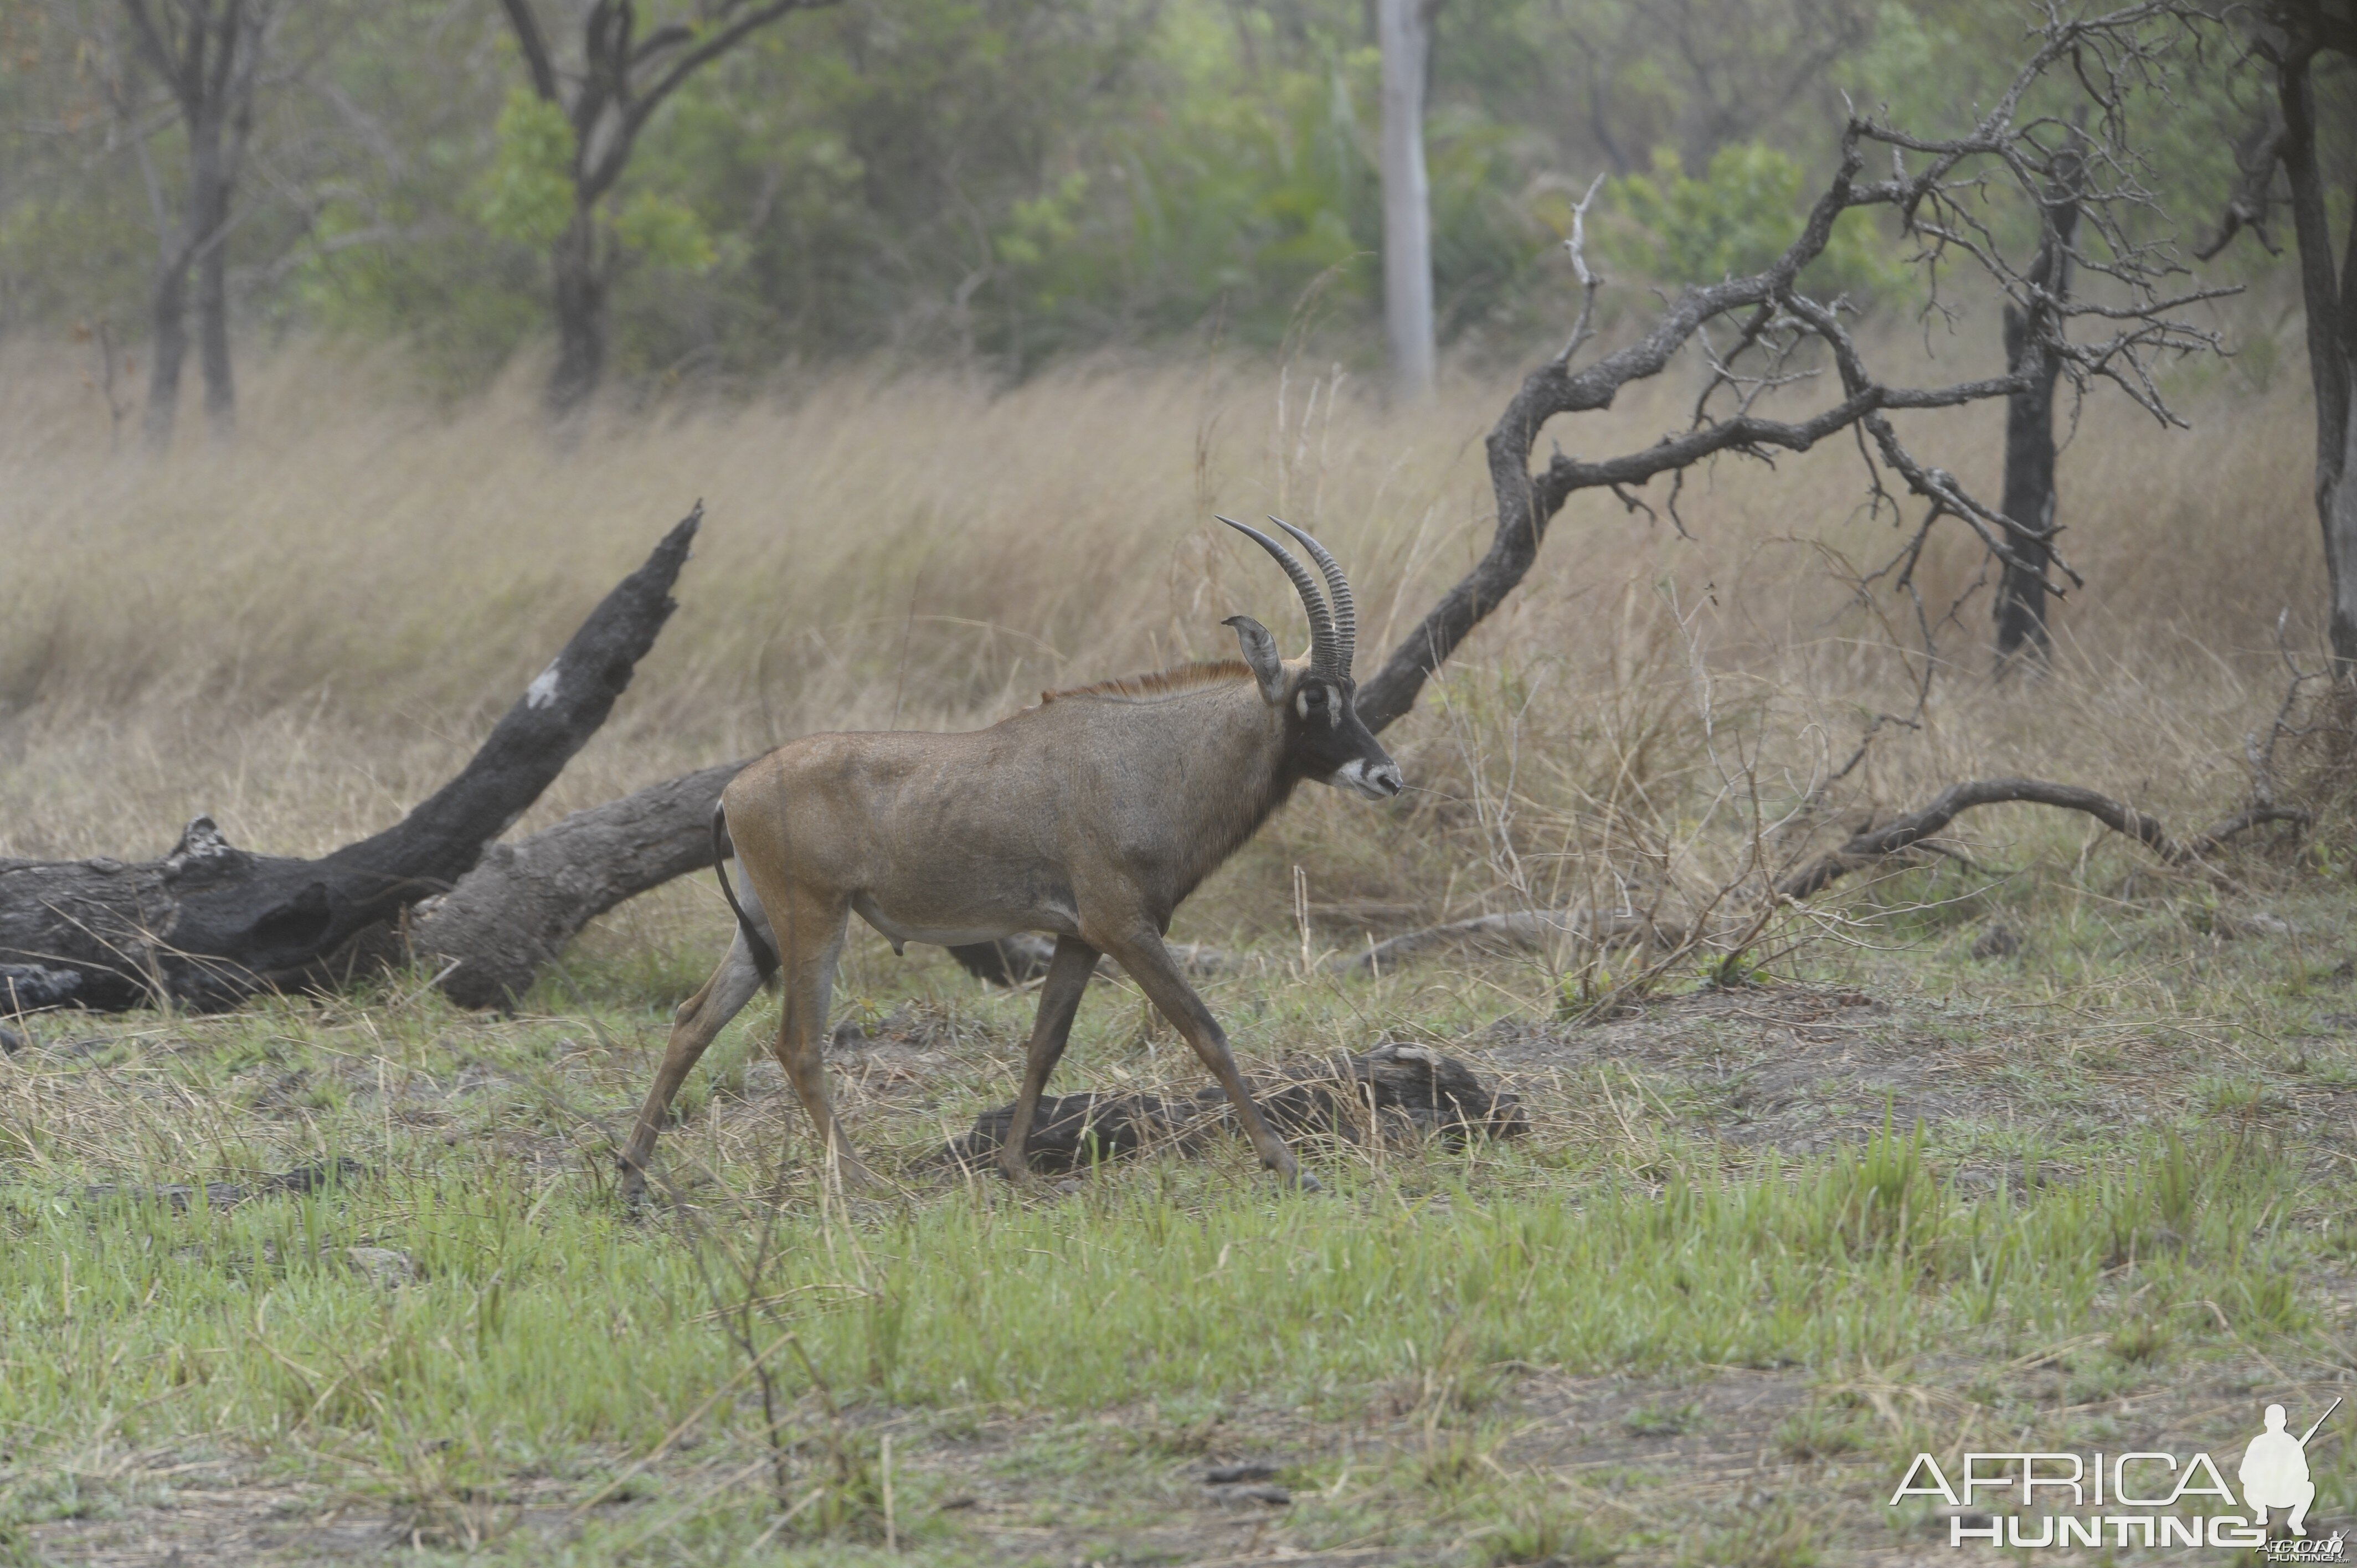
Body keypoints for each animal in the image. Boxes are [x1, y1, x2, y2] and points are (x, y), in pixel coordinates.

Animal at [617, 518, 1404, 1193]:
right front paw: (1286, 1163)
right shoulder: (1126, 928)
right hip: (813, 919)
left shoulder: (1079, 937)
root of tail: (734, 792)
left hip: (761, 927)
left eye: (1348, 690)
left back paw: (632, 1179)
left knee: (693, 1021)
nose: (1387, 777)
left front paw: (1016, 1167)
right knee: (797, 1044)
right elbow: (1206, 1032)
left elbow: (1044, 1043)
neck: (1150, 759)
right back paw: (860, 1182)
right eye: (1313, 697)